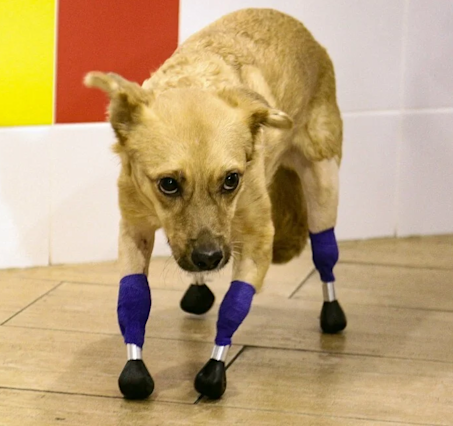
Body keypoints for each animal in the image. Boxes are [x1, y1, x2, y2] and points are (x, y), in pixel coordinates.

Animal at [85, 7, 342, 400]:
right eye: (168, 184)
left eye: (231, 179)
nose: (209, 257)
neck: (195, 81)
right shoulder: (134, 228)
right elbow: (133, 298)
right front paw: (134, 370)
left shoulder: (256, 240)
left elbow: (234, 306)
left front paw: (212, 373)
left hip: (322, 181)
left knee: (325, 252)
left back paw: (333, 312)